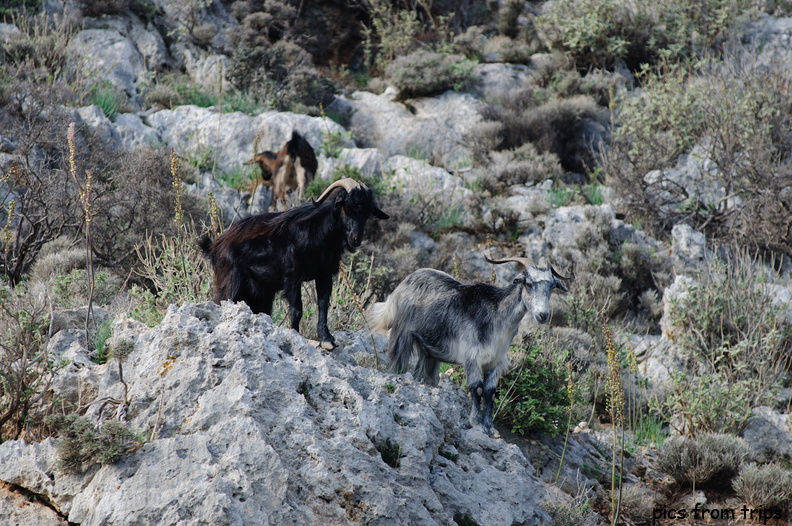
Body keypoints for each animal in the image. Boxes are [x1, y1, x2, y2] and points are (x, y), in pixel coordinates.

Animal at [196, 179, 386, 348]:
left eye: (367, 213)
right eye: (347, 207)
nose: (355, 239)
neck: (319, 233)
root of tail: (214, 246)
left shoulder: (324, 275)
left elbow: (323, 305)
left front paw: (326, 339)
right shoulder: (292, 277)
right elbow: (297, 309)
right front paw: (296, 335)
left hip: (261, 292)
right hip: (231, 282)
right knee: (222, 300)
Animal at [368, 256, 568, 438]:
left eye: (551, 286)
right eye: (528, 284)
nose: (543, 315)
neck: (497, 316)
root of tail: (404, 284)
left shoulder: (495, 362)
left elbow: (490, 392)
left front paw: (490, 428)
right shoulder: (472, 357)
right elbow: (476, 387)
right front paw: (475, 423)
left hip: (429, 352)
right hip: (401, 334)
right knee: (398, 363)